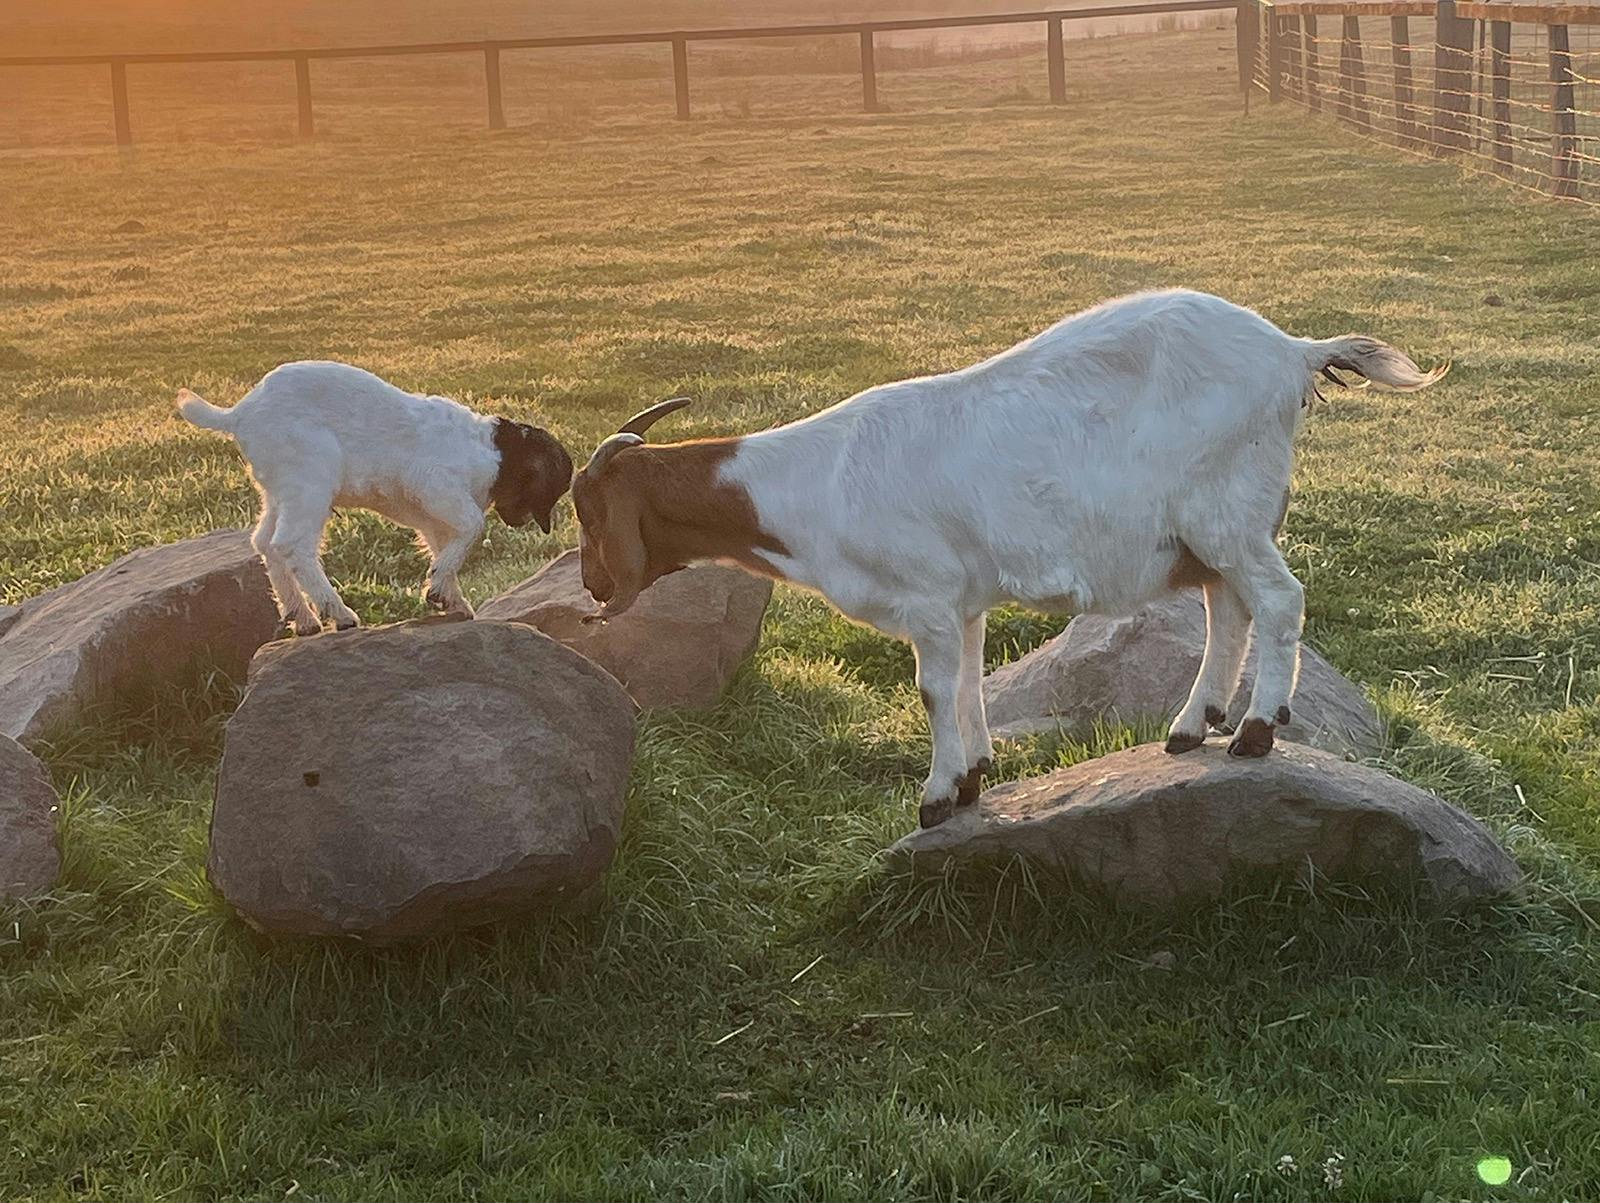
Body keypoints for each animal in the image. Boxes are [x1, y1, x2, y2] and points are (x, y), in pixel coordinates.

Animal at [178, 361, 573, 634]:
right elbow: (473, 526)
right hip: (310, 483)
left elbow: (445, 545)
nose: (528, 522)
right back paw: (338, 613)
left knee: (265, 542)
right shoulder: (435, 486)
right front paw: (439, 591)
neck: (493, 451)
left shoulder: (435, 517)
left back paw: (302, 618)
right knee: (291, 544)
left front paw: (450, 598)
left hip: (278, 491)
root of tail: (240, 413)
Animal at [571, 289, 1444, 828]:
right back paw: (1192, 728)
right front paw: (974, 777)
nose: (591, 585)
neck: (813, 483)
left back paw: (1257, 730)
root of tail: (1293, 350)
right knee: (1230, 608)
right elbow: (967, 681)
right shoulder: (961, 601)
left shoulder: (925, 596)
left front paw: (933, 797)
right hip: (1210, 531)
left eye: (587, 510)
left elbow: (931, 690)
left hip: (1226, 510)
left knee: (1280, 598)